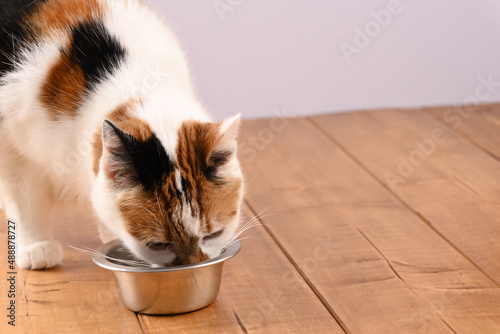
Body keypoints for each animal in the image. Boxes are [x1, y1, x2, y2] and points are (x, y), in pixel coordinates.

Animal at [0, 0, 243, 270]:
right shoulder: (12, 151)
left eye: (214, 234)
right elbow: (26, 203)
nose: (191, 265)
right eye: (157, 245)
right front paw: (35, 247)